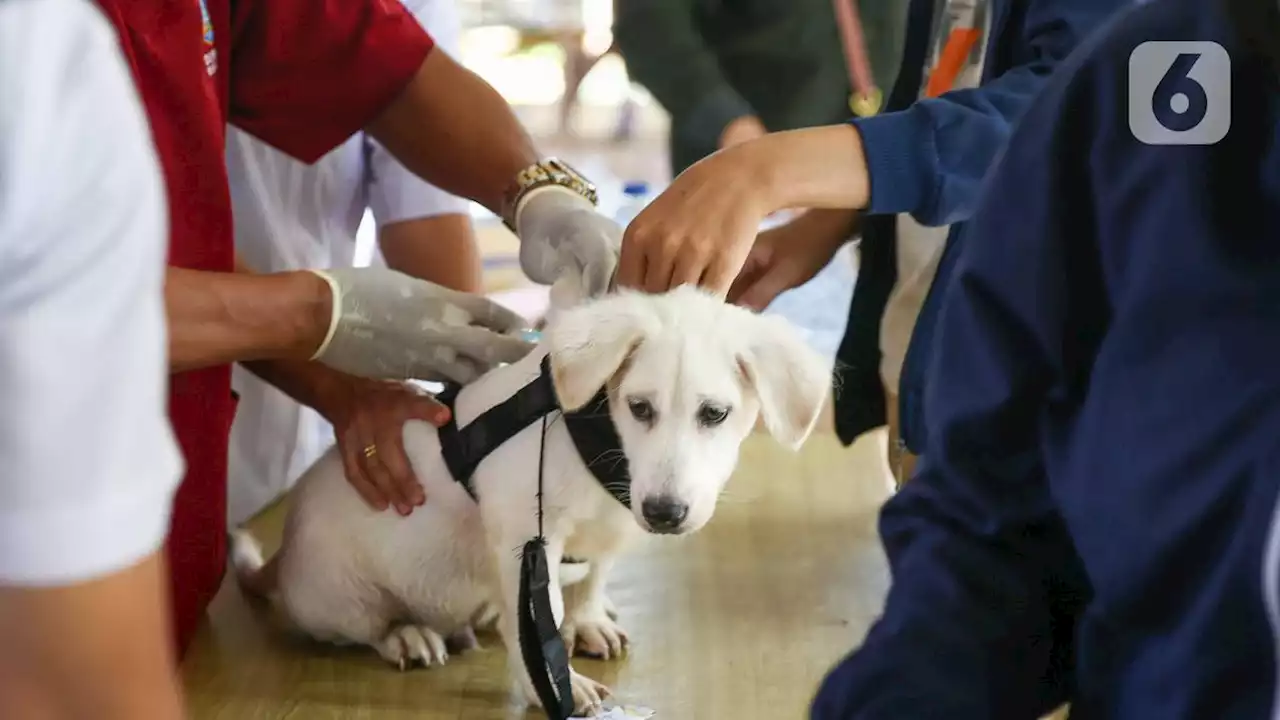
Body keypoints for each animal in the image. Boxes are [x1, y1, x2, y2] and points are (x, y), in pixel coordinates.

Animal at [230, 283, 829, 712]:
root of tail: (283, 556)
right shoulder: (528, 542)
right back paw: (407, 635)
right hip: (342, 599)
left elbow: (591, 582)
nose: (663, 514)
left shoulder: (606, 533)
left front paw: (588, 622)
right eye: (639, 407)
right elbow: (538, 623)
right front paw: (554, 684)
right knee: (368, 628)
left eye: (715, 413)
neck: (601, 446)